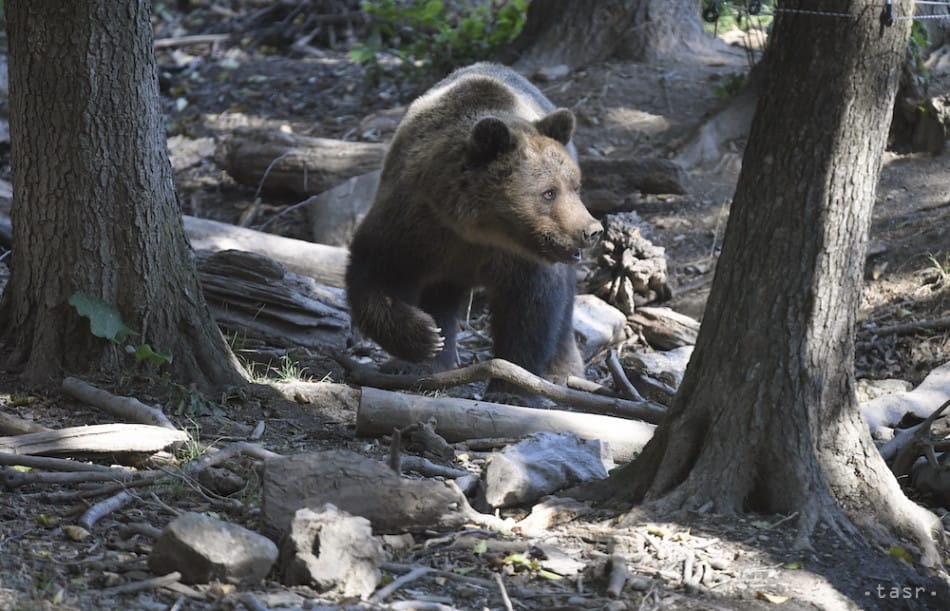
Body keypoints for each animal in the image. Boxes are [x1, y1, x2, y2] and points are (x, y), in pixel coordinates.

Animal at [345, 62, 603, 398]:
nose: (591, 230)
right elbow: (375, 273)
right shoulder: (412, 224)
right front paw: (425, 338)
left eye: (575, 185)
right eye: (549, 192)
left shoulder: (522, 260)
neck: (476, 228)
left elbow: (531, 310)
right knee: (440, 295)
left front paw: (510, 386)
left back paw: (563, 370)